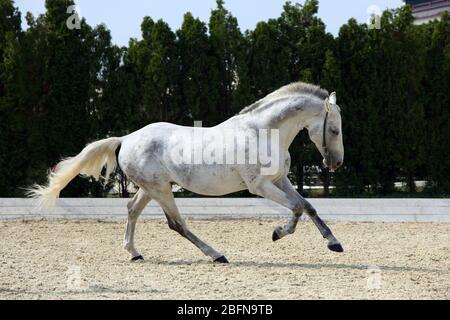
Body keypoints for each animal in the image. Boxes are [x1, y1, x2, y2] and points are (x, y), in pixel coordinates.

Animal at [28, 82, 344, 262]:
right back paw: (216, 255)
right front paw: (279, 233)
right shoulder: (260, 186)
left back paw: (134, 253)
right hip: (160, 190)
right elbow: (297, 208)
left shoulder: (279, 180)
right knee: (176, 224)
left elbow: (307, 206)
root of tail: (126, 139)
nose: (336, 164)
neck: (263, 132)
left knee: (132, 210)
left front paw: (334, 243)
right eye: (334, 129)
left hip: (152, 188)